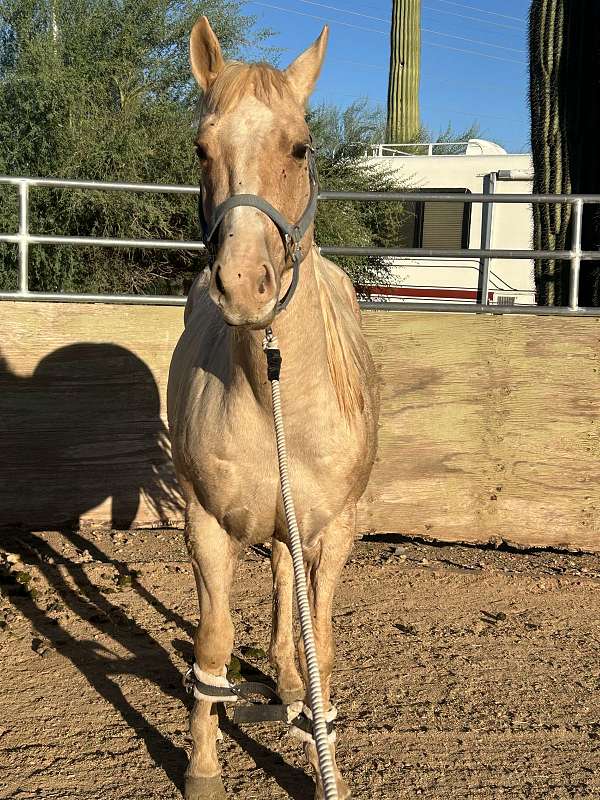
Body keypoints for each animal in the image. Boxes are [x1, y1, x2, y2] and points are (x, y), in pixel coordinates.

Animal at [167, 17, 379, 800]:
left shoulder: (338, 530)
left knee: (292, 590)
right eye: (202, 147)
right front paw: (201, 767)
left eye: (300, 147)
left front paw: (322, 763)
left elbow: (322, 637)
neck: (273, 392)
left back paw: (292, 684)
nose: (243, 283)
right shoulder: (204, 522)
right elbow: (214, 643)